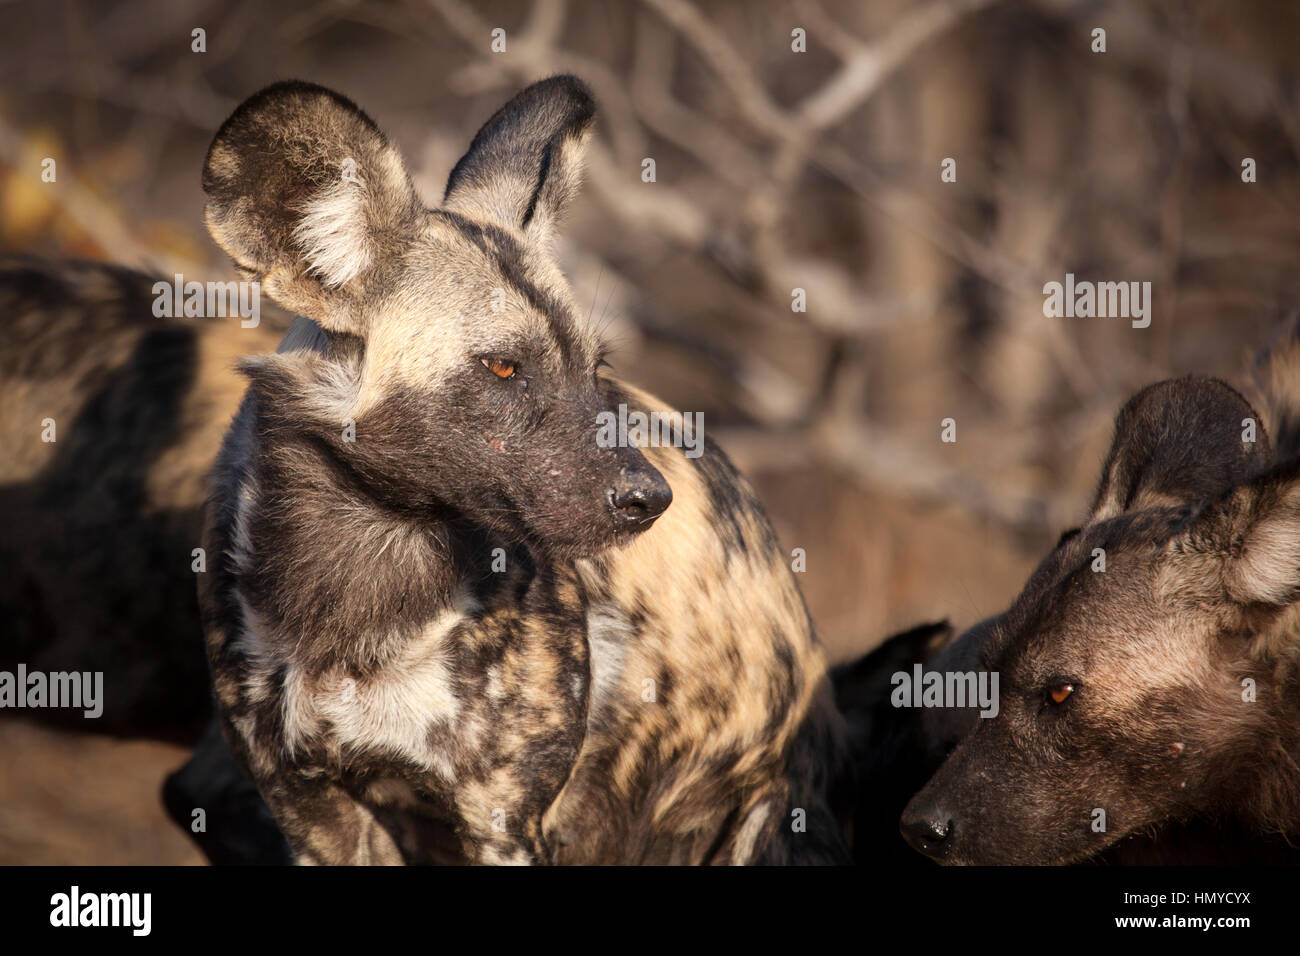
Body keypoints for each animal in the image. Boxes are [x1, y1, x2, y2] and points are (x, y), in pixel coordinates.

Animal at [192, 76, 842, 868]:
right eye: (504, 367)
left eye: (596, 367)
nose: (649, 497)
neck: (363, 569)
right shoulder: (313, 816)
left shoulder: (503, 821)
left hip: (762, 816)